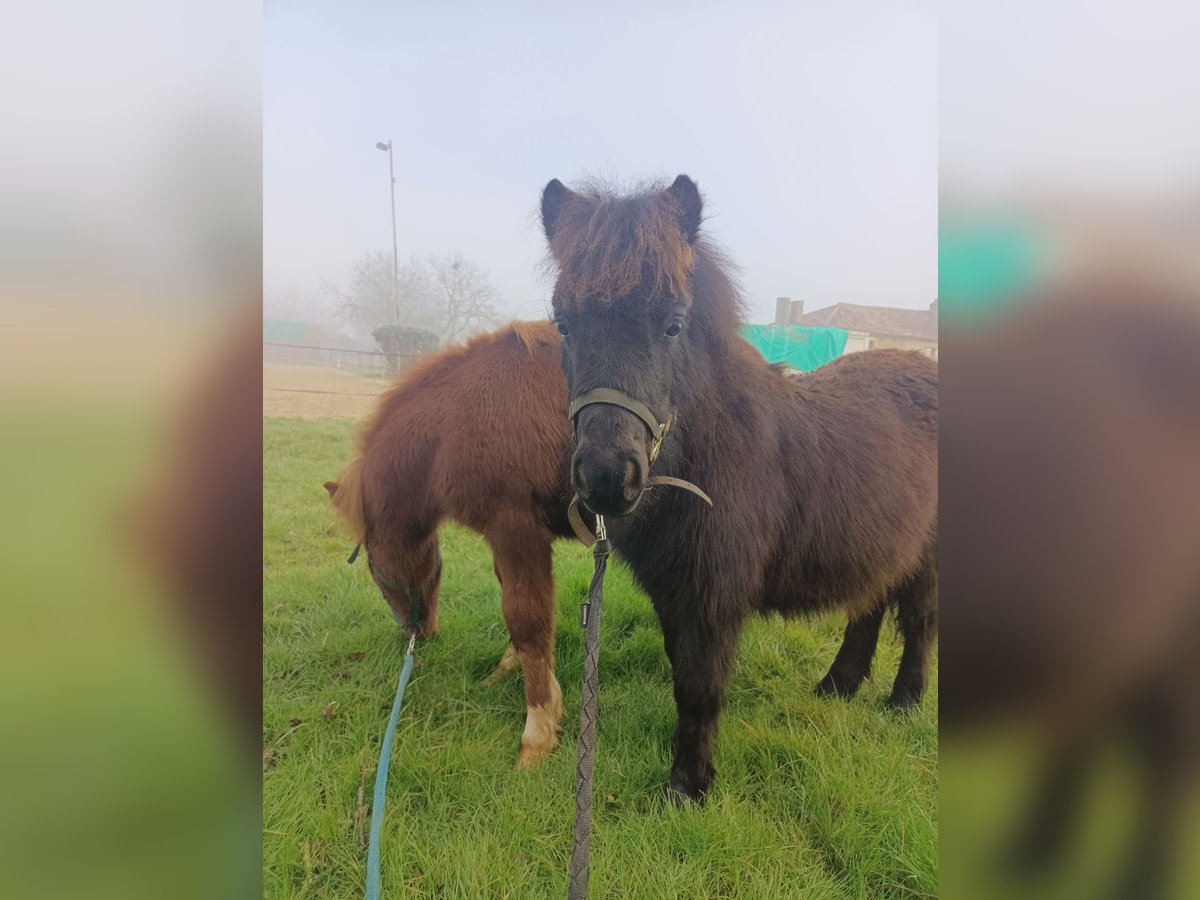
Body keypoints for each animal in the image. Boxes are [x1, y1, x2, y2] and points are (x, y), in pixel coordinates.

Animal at [324, 324, 576, 768]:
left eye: (374, 567)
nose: (417, 633)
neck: (458, 419)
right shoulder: (505, 540)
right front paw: (512, 671)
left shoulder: (517, 530)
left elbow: (526, 618)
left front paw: (538, 734)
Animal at [540, 174, 940, 801]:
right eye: (564, 323)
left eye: (673, 324)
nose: (607, 478)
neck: (710, 454)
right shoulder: (674, 593)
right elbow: (682, 672)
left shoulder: (713, 595)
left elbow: (700, 685)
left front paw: (688, 787)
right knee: (869, 605)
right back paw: (838, 685)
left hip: (928, 554)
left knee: (920, 622)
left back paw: (903, 702)